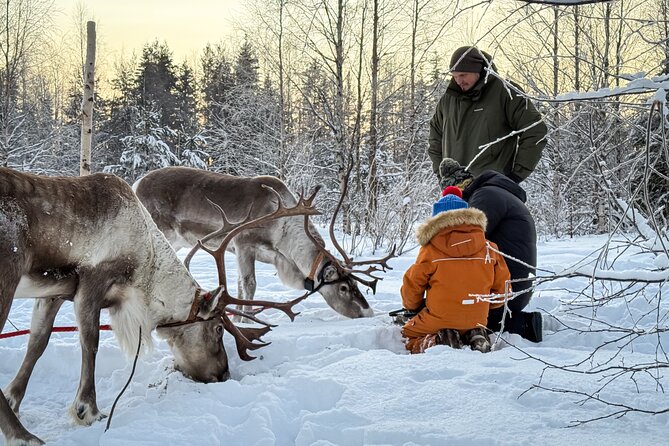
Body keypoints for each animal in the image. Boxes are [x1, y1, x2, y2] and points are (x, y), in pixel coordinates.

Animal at [0, 167, 309, 446]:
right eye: (218, 328)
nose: (223, 374)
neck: (146, 262)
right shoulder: (92, 282)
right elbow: (91, 342)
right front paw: (88, 410)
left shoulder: (53, 294)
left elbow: (37, 343)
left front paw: (14, 396)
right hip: (8, 278)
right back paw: (24, 437)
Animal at [133, 166, 395, 320]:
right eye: (343, 288)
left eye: (355, 283)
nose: (368, 312)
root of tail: (136, 184)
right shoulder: (243, 245)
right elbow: (249, 285)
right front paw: (246, 319)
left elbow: (238, 286)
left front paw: (238, 317)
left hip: (174, 241)